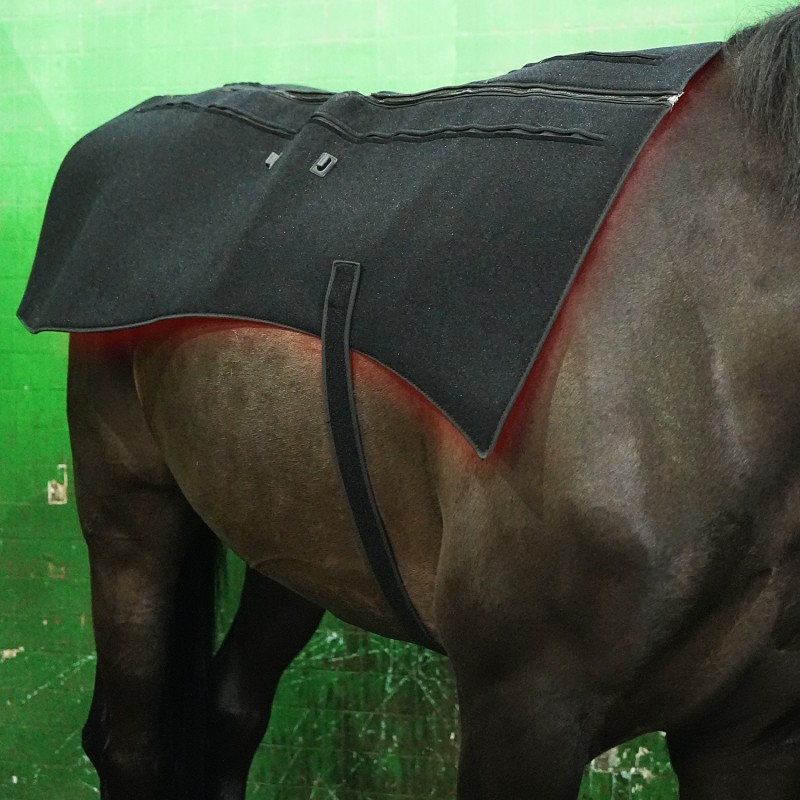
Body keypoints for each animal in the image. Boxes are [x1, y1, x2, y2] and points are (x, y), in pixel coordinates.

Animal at [53, 6, 800, 798]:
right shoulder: (524, 708)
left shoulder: (751, 735)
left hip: (292, 538)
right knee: (128, 743)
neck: (704, 337)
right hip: (130, 518)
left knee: (230, 711)